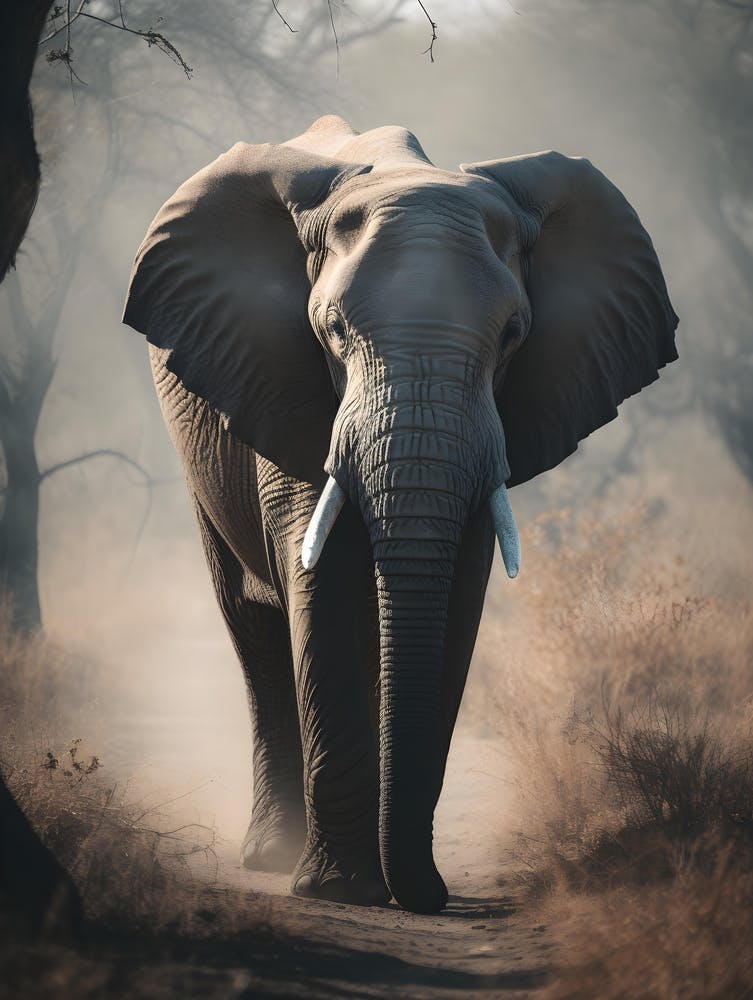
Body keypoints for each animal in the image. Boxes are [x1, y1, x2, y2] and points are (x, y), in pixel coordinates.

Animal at [122, 115, 678, 914]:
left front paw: (407, 885)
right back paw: (272, 855)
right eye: (331, 332)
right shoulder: (280, 382)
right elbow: (319, 578)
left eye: (513, 335)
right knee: (251, 625)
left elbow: (456, 601)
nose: (429, 897)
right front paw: (342, 891)